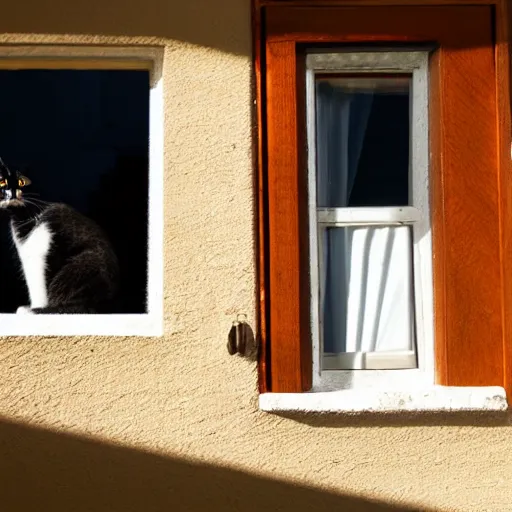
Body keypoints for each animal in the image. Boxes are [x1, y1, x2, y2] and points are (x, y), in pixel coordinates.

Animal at [0, 159, 119, 312]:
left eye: (22, 182)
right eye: (2, 182)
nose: (13, 192)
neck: (22, 217)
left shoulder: (42, 252)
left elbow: (39, 286)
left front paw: (36, 308)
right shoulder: (27, 256)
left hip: (84, 264)